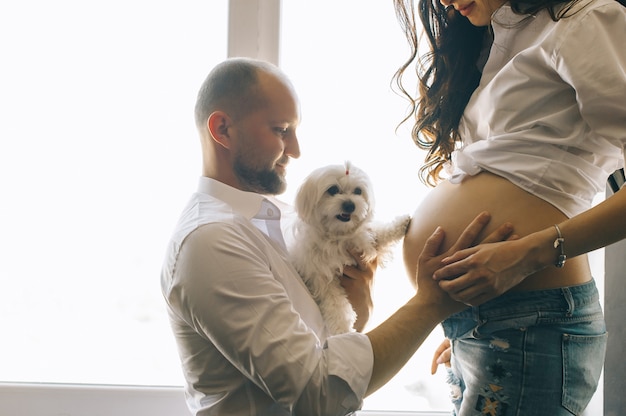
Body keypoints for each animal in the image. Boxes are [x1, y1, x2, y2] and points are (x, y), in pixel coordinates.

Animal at [288, 161, 410, 336]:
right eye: (332, 190)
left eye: (358, 191)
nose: (350, 205)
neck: (337, 235)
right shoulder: (321, 277)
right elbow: (336, 304)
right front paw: (343, 329)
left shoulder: (361, 241)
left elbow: (378, 234)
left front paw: (401, 224)